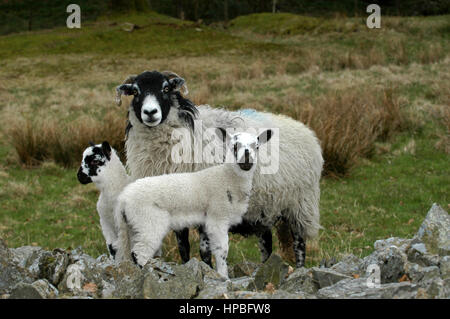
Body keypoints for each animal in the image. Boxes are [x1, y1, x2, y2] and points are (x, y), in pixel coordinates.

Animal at [114, 129, 272, 278]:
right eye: (234, 146)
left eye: (257, 146)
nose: (246, 161)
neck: (228, 178)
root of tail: (123, 199)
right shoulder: (218, 217)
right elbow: (222, 250)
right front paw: (223, 276)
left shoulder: (206, 222)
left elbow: (206, 249)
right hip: (149, 220)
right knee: (139, 253)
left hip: (134, 224)